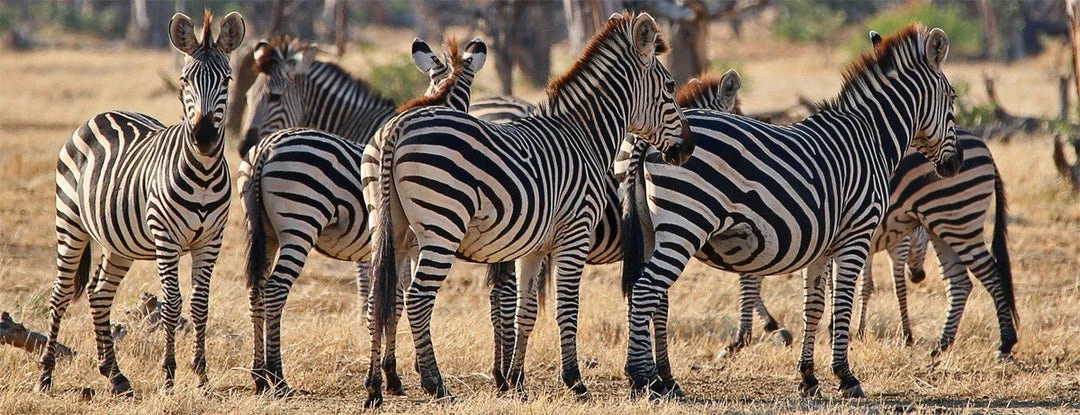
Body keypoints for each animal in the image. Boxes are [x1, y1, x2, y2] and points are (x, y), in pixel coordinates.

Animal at [39, 11, 244, 395]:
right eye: (185, 80)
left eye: (227, 80)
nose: (205, 137)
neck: (204, 173)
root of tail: (102, 114)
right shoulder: (167, 238)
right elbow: (172, 304)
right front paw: (169, 376)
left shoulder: (212, 240)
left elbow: (200, 305)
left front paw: (201, 377)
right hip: (69, 223)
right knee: (60, 293)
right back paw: (45, 375)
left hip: (118, 243)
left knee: (99, 293)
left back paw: (115, 376)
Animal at [240, 38, 488, 396]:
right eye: (249, 98)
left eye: (272, 97)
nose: (241, 141)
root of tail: (263, 150)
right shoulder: (410, 246)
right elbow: (396, 300)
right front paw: (406, 372)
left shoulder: (396, 248)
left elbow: (390, 301)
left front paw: (392, 375)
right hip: (299, 226)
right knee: (274, 291)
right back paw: (278, 377)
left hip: (264, 232)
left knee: (256, 290)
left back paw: (259, 376)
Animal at [361, 12, 693, 407]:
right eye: (671, 87)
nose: (688, 148)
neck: (584, 136)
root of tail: (398, 125)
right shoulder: (575, 233)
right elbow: (567, 308)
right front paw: (575, 382)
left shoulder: (532, 247)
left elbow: (526, 312)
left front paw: (516, 381)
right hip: (442, 227)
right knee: (417, 299)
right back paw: (435, 384)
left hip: (389, 227)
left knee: (379, 300)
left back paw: (376, 387)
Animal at [619, 24, 962, 399]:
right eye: (953, 98)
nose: (955, 164)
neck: (872, 139)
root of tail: (649, 141)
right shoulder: (855, 236)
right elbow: (842, 302)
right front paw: (846, 376)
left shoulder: (822, 243)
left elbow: (813, 306)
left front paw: (808, 377)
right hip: (686, 223)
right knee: (646, 290)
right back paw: (640, 376)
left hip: (651, 229)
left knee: (650, 296)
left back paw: (660, 378)